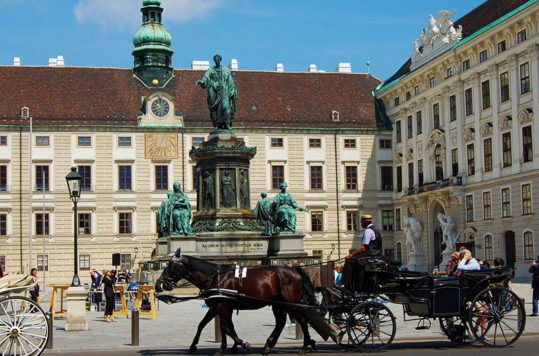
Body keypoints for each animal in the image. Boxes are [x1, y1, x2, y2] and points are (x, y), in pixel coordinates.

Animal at [154, 249, 318, 354]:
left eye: (172, 266)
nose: (158, 284)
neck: (215, 277)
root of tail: (295, 269)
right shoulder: (219, 306)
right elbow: (209, 325)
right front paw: (196, 345)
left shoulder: (222, 305)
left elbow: (224, 327)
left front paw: (237, 345)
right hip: (278, 304)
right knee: (280, 323)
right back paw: (268, 346)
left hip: (291, 303)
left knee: (302, 320)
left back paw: (305, 345)